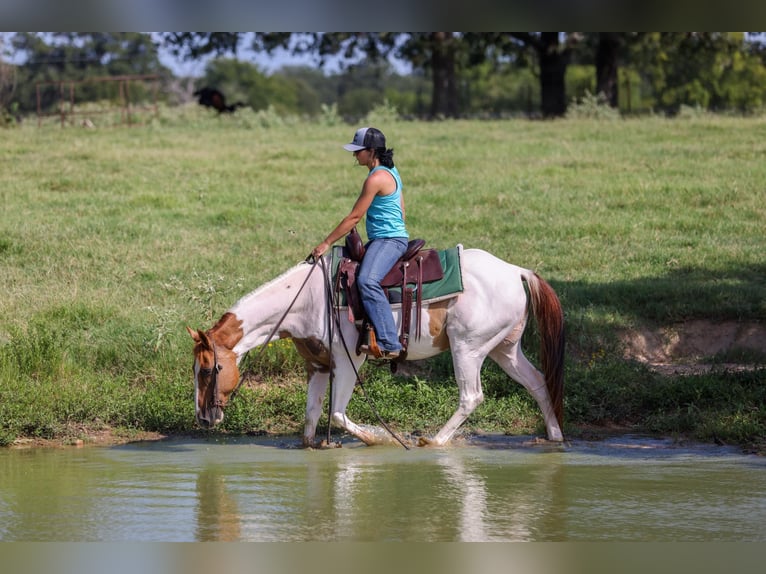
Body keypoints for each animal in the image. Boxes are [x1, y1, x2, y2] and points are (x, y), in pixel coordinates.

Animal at [186, 246, 565, 447]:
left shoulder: (347, 360)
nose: (203, 417)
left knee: (471, 396)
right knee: (537, 382)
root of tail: (515, 271)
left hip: (467, 349)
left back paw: (435, 441)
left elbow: (337, 415)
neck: (308, 299)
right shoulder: (318, 366)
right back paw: (554, 437)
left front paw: (379, 439)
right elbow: (311, 417)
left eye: (207, 369)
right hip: (505, 349)